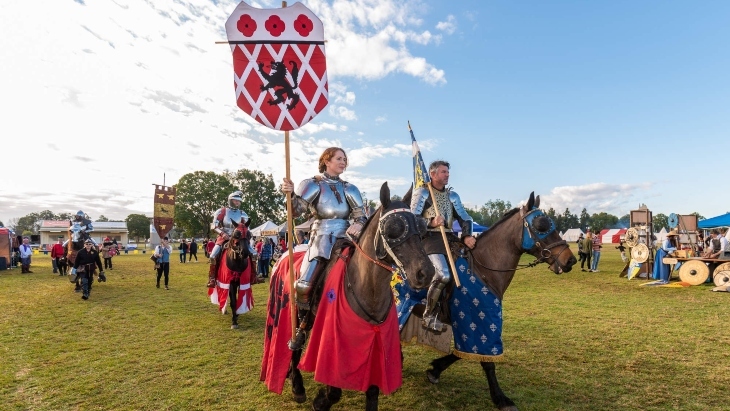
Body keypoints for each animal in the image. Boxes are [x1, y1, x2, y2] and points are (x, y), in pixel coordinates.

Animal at [416, 193, 576, 411]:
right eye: (542, 225)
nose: (570, 260)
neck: (484, 268)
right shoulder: (478, 322)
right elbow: (487, 362)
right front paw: (500, 398)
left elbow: (461, 353)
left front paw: (435, 369)